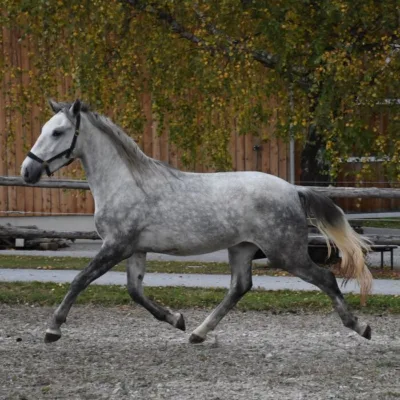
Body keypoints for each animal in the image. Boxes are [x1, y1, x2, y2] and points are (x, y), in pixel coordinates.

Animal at [21, 100, 372, 344]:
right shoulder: (134, 249)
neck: (126, 182)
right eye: (43, 129)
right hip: (242, 249)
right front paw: (176, 319)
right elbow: (134, 291)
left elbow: (80, 280)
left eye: (57, 132)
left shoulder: (115, 246)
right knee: (239, 288)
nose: (28, 171)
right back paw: (199, 333)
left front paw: (53, 329)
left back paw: (361, 327)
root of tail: (293, 189)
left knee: (326, 279)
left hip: (286, 254)